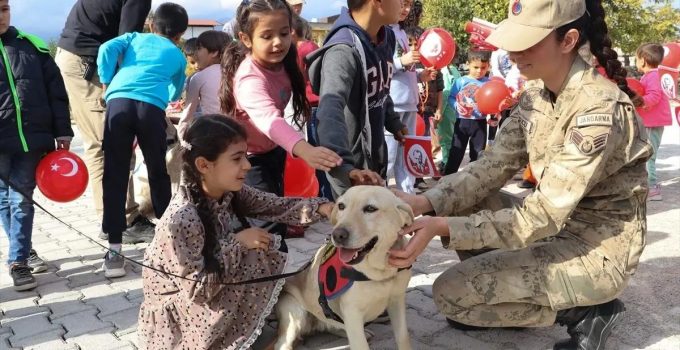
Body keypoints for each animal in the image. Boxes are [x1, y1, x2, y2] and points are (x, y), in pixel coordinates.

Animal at [274, 187, 412, 348]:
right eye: (341, 206)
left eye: (370, 208)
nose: (337, 235)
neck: (379, 273)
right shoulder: (353, 314)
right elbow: (360, 345)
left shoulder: (397, 301)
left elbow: (403, 337)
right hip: (295, 313)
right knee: (282, 344)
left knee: (332, 326)